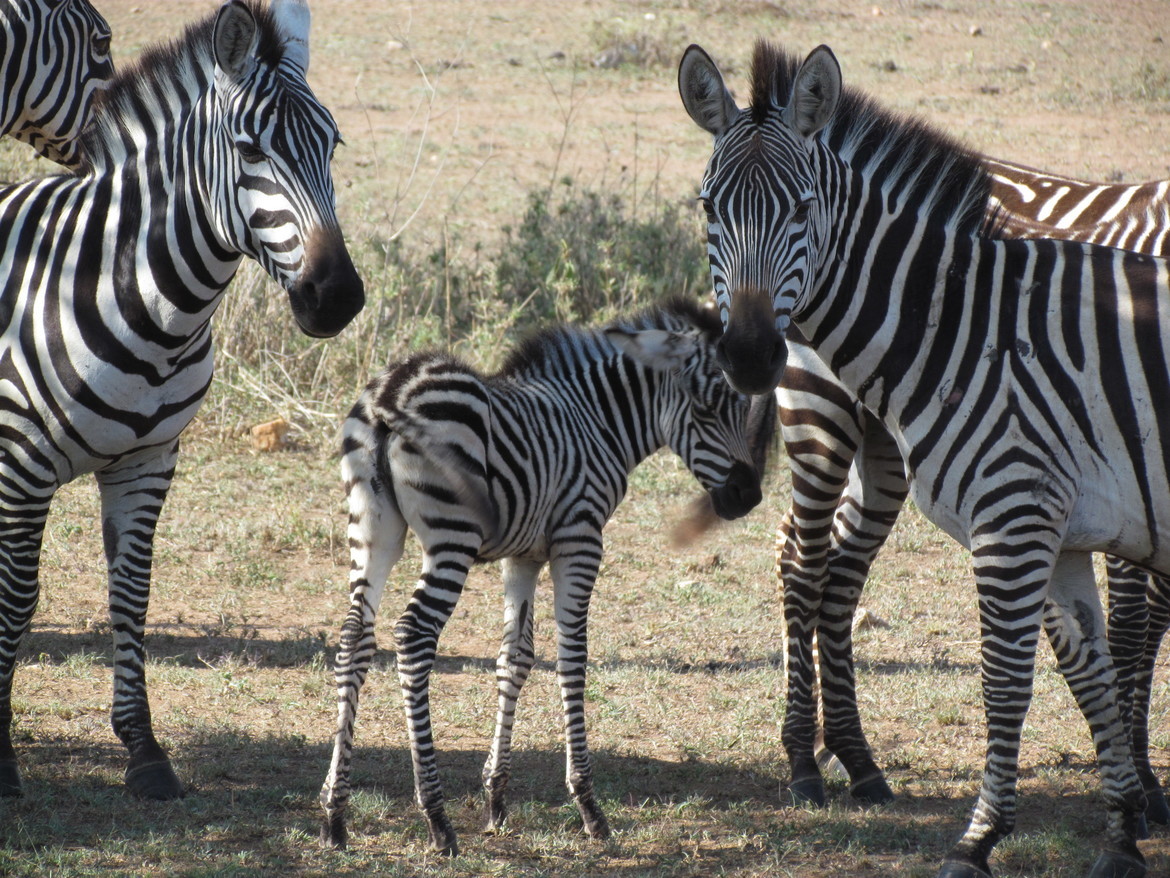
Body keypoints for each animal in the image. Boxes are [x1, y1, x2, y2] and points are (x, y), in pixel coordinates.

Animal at [319, 298, 765, 854]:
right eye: (707, 407)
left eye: (741, 404)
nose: (749, 496)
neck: (599, 420)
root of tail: (390, 394)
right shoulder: (579, 537)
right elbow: (573, 659)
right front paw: (589, 806)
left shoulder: (524, 555)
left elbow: (515, 658)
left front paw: (496, 800)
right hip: (451, 536)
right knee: (413, 635)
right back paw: (437, 817)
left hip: (372, 528)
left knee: (355, 637)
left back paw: (335, 814)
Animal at [770, 151, 1170, 818]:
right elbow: (1134, 625)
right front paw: (1141, 781)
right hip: (819, 411)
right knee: (804, 560)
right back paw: (805, 757)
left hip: (887, 446)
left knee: (838, 564)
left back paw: (854, 757)